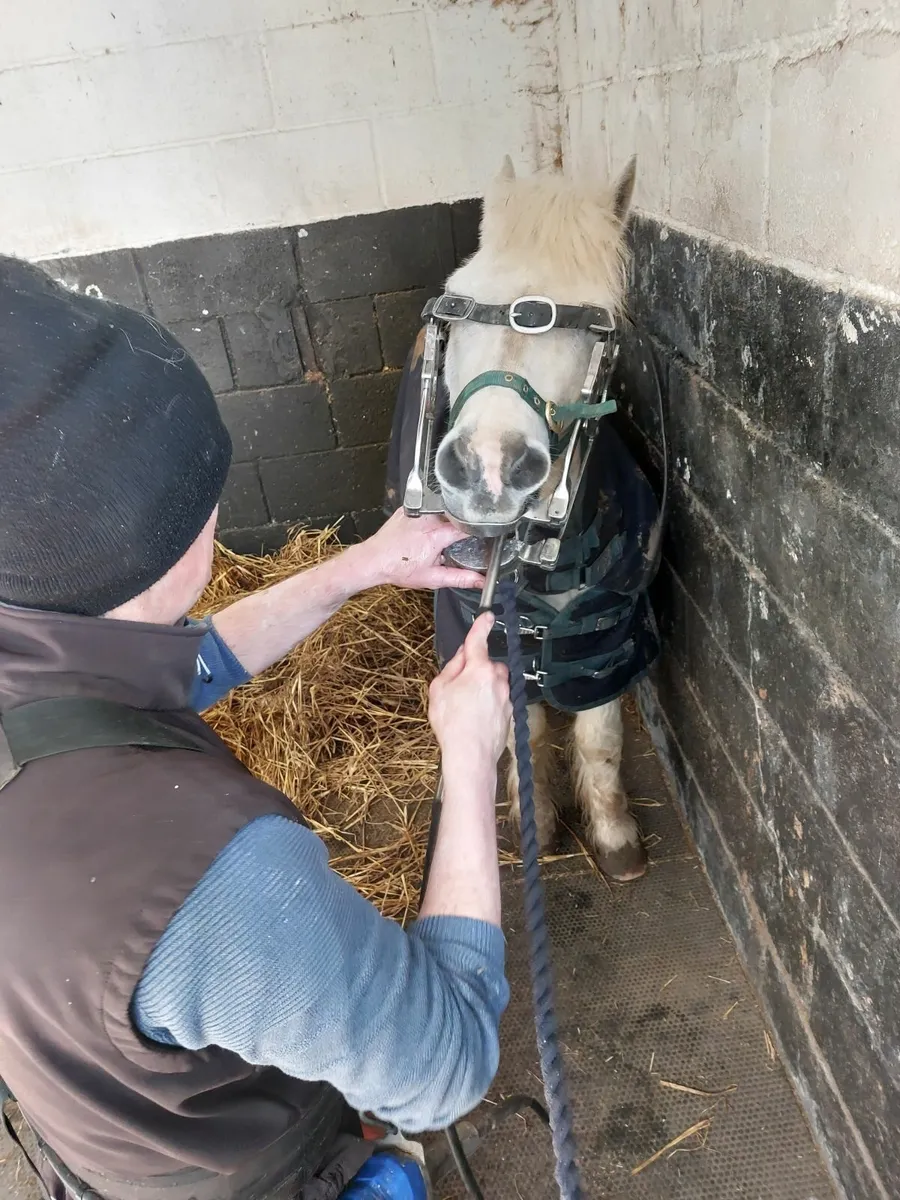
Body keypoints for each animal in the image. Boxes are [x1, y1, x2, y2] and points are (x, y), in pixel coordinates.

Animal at [385, 156, 662, 882]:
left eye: (598, 332)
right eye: (457, 301)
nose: (487, 467)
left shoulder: (606, 629)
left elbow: (599, 736)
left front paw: (614, 835)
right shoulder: (476, 629)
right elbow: (524, 730)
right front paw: (534, 821)